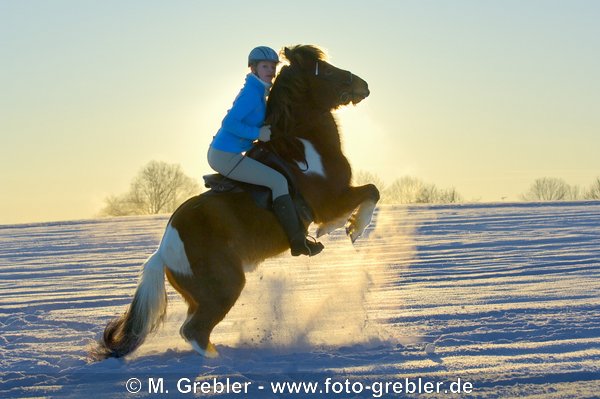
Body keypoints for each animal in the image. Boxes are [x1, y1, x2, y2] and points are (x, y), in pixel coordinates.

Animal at [91, 45, 382, 360]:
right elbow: (372, 191)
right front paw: (352, 228)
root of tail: (163, 251)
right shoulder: (331, 200)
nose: (363, 85)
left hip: (201, 296)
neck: (303, 146)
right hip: (225, 288)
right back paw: (218, 361)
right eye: (326, 71)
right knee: (193, 331)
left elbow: (371, 193)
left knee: (194, 328)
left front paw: (342, 228)